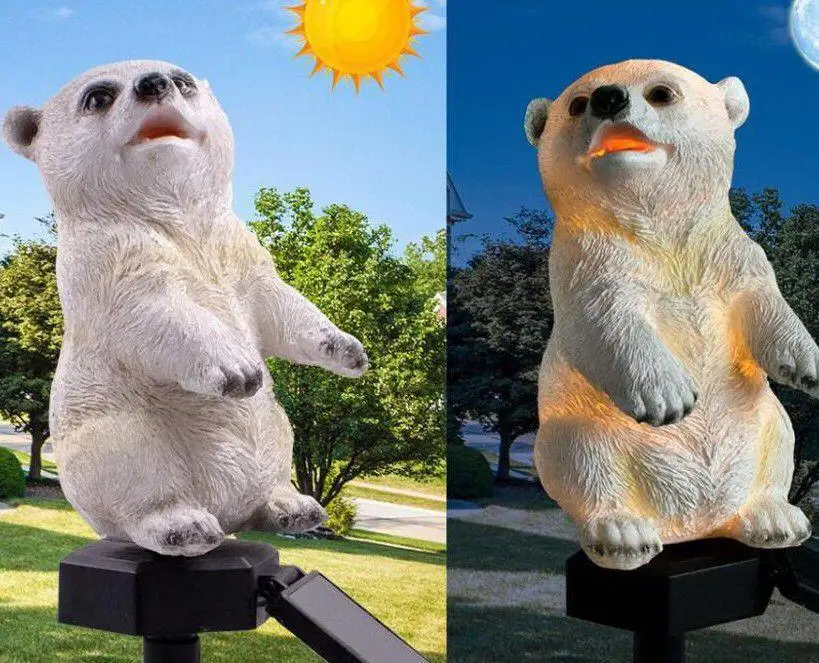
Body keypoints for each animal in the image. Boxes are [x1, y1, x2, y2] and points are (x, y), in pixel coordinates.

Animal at [3, 60, 368, 556]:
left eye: (183, 81)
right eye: (98, 97)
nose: (154, 83)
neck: (176, 221)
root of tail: (225, 508)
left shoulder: (237, 247)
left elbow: (277, 304)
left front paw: (347, 348)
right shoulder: (106, 259)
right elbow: (156, 312)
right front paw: (238, 369)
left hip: (273, 430)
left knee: (278, 444)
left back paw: (290, 506)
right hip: (120, 423)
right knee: (129, 463)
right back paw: (182, 525)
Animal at [524, 59, 817, 570]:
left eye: (662, 93)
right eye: (576, 104)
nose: (607, 98)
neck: (660, 232)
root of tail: (693, 524)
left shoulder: (728, 253)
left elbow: (760, 299)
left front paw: (806, 365)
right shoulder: (588, 263)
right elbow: (604, 321)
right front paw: (668, 395)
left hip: (762, 421)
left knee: (779, 440)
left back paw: (774, 519)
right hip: (582, 426)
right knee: (581, 459)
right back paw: (623, 534)